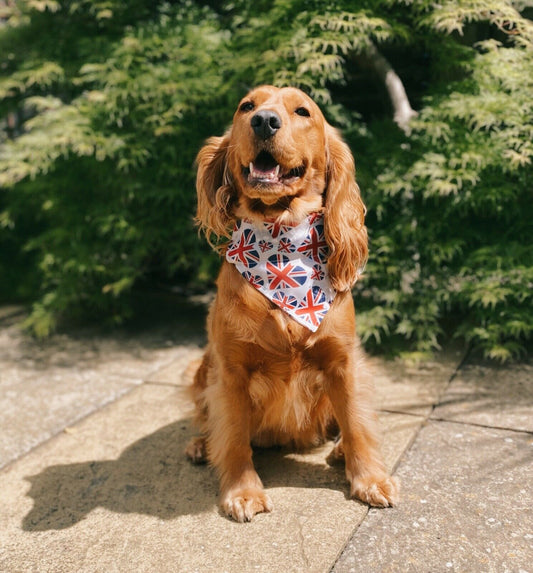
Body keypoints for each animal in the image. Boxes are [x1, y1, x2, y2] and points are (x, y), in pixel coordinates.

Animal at [185, 86, 396, 524]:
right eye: (246, 106)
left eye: (303, 111)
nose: (264, 121)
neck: (280, 246)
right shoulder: (230, 370)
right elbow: (233, 436)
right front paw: (242, 491)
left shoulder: (343, 361)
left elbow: (356, 422)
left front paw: (369, 479)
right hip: (202, 367)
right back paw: (200, 443)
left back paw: (338, 450)